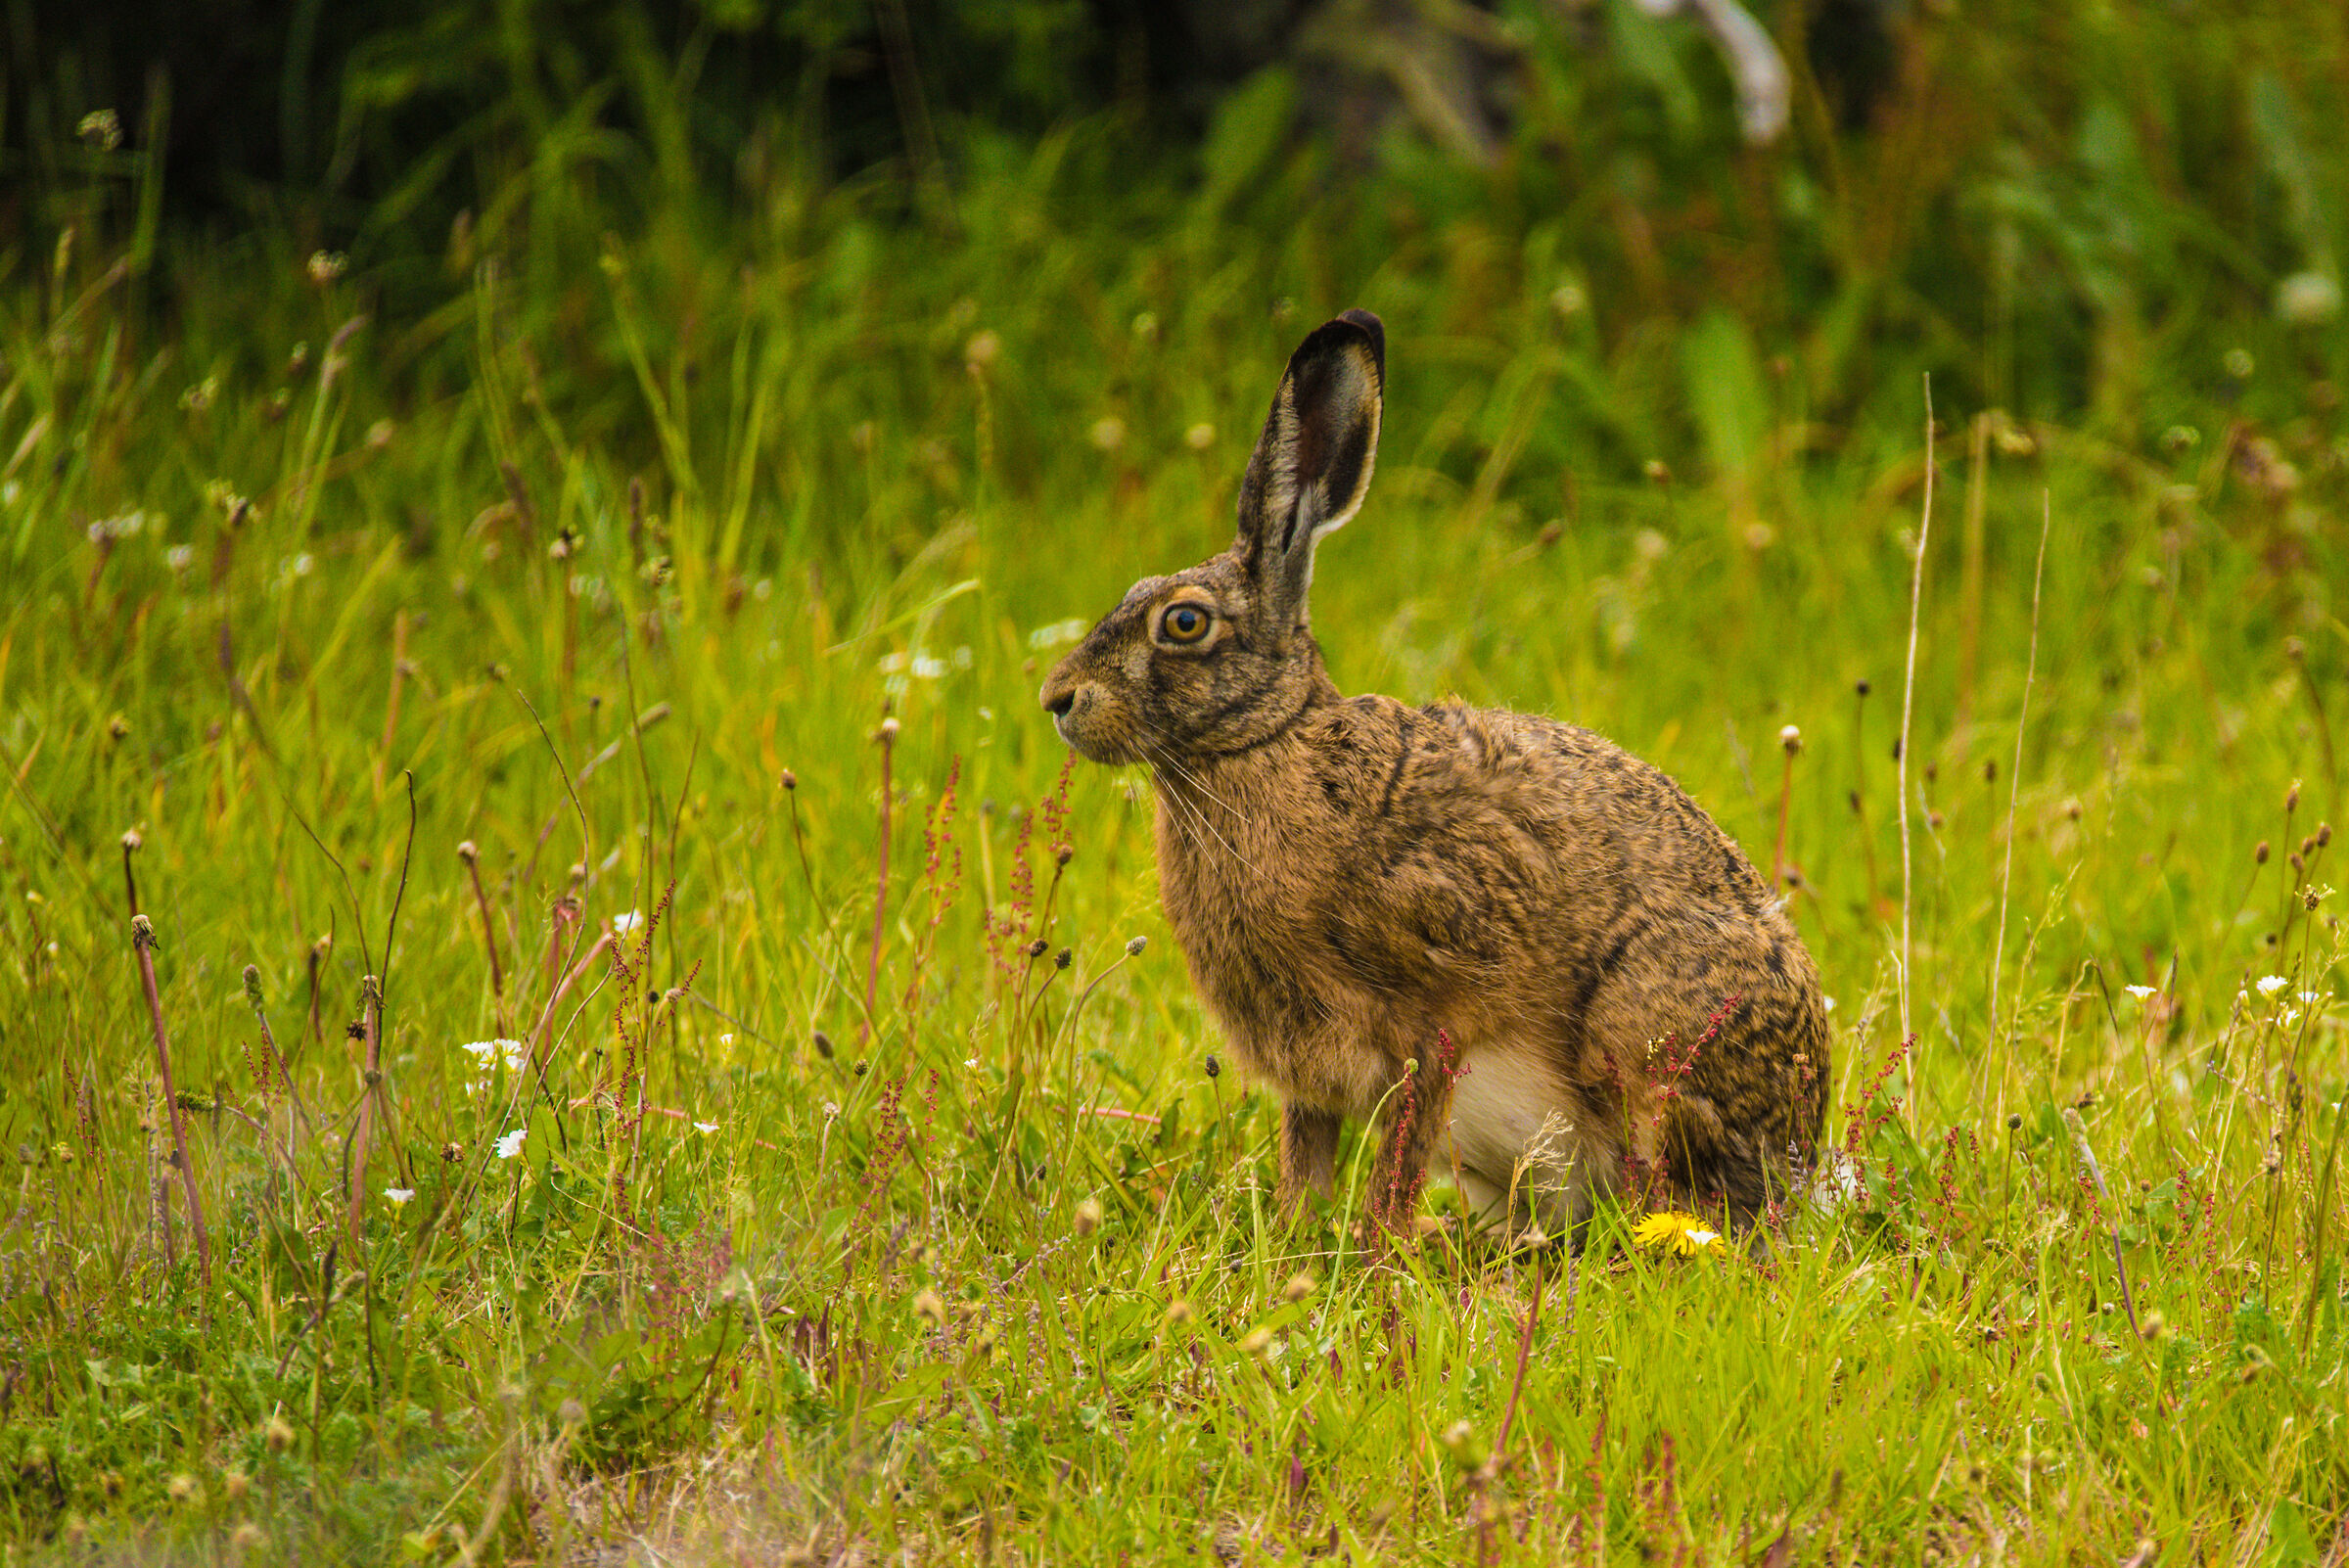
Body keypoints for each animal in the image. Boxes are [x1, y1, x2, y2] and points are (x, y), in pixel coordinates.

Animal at [1039, 308, 1828, 1235]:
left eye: (1185, 624)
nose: (1058, 699)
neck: (1269, 744)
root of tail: (1801, 1147)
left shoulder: (1432, 1022)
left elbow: (1399, 1156)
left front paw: (1375, 1250)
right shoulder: (1307, 1066)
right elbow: (1306, 1160)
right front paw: (1300, 1240)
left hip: (1644, 1030)